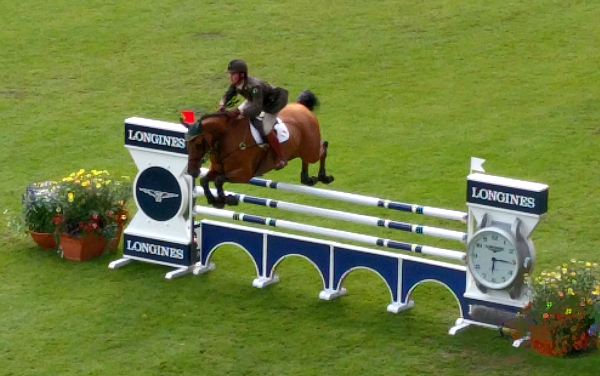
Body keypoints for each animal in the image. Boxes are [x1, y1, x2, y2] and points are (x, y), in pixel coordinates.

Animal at [180, 90, 336, 209]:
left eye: (198, 144)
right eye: (186, 144)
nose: (192, 172)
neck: (225, 139)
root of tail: (301, 105)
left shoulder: (243, 174)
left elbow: (218, 180)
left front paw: (227, 199)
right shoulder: (217, 170)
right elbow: (204, 180)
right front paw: (216, 200)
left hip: (311, 149)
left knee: (323, 148)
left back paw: (324, 176)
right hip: (303, 150)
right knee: (308, 158)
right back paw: (307, 178)